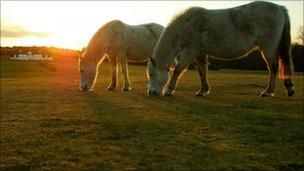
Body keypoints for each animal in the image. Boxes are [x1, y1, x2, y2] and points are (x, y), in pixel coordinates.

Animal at [147, 1, 294, 97]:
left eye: (152, 74)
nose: (151, 92)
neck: (187, 25)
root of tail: (280, 8)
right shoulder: (200, 53)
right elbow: (202, 71)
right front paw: (203, 90)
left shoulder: (190, 51)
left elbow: (178, 70)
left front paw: (169, 90)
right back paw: (289, 88)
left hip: (268, 47)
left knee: (273, 67)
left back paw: (268, 91)